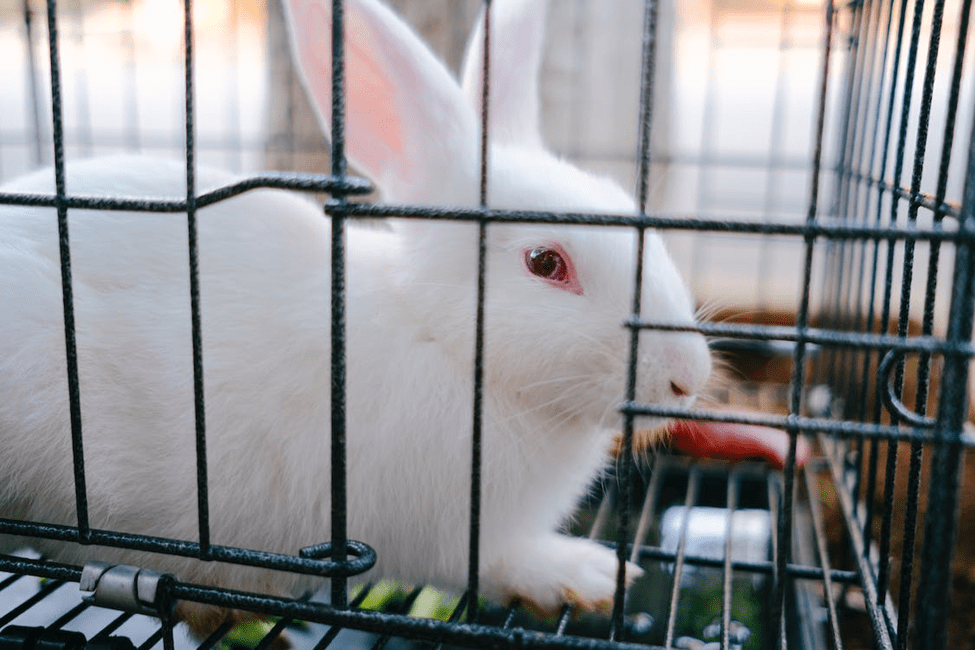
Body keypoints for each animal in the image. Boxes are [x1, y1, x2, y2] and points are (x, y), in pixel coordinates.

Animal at [0, 0, 712, 638]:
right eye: (545, 262)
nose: (687, 379)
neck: (443, 340)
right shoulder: (448, 532)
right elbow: (494, 564)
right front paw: (586, 574)